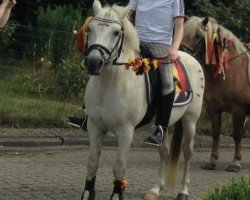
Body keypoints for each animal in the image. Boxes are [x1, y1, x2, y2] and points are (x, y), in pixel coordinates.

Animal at [82, 0, 205, 199]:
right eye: (90, 28)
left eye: (116, 32)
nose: (93, 62)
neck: (112, 83)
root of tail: (192, 59)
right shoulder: (95, 127)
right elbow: (92, 163)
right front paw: (87, 194)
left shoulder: (126, 131)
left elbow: (119, 168)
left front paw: (117, 195)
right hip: (165, 124)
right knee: (164, 151)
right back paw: (155, 189)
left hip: (190, 121)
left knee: (188, 153)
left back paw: (183, 191)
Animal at [182, 16, 250, 172]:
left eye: (198, 36)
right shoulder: (213, 109)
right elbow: (215, 133)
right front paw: (212, 160)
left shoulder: (239, 110)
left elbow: (237, 135)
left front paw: (235, 162)